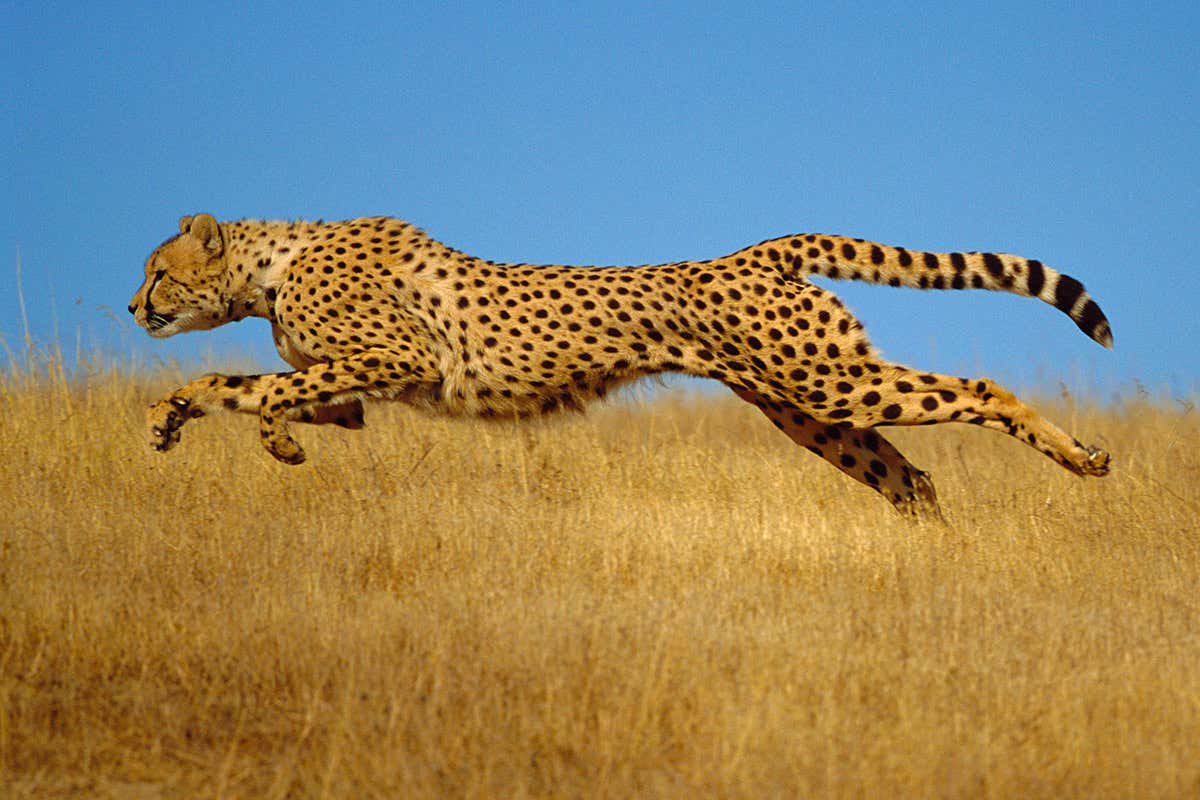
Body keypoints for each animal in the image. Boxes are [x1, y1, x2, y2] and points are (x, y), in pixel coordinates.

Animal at [129, 213, 1112, 520]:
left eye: (157, 271)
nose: (135, 308)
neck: (269, 266)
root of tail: (752, 251)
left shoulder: (396, 354)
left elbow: (270, 388)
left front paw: (270, 438)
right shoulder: (365, 388)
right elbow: (248, 386)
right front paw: (171, 418)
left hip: (827, 381)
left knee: (979, 391)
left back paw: (1082, 458)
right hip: (808, 409)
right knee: (910, 478)